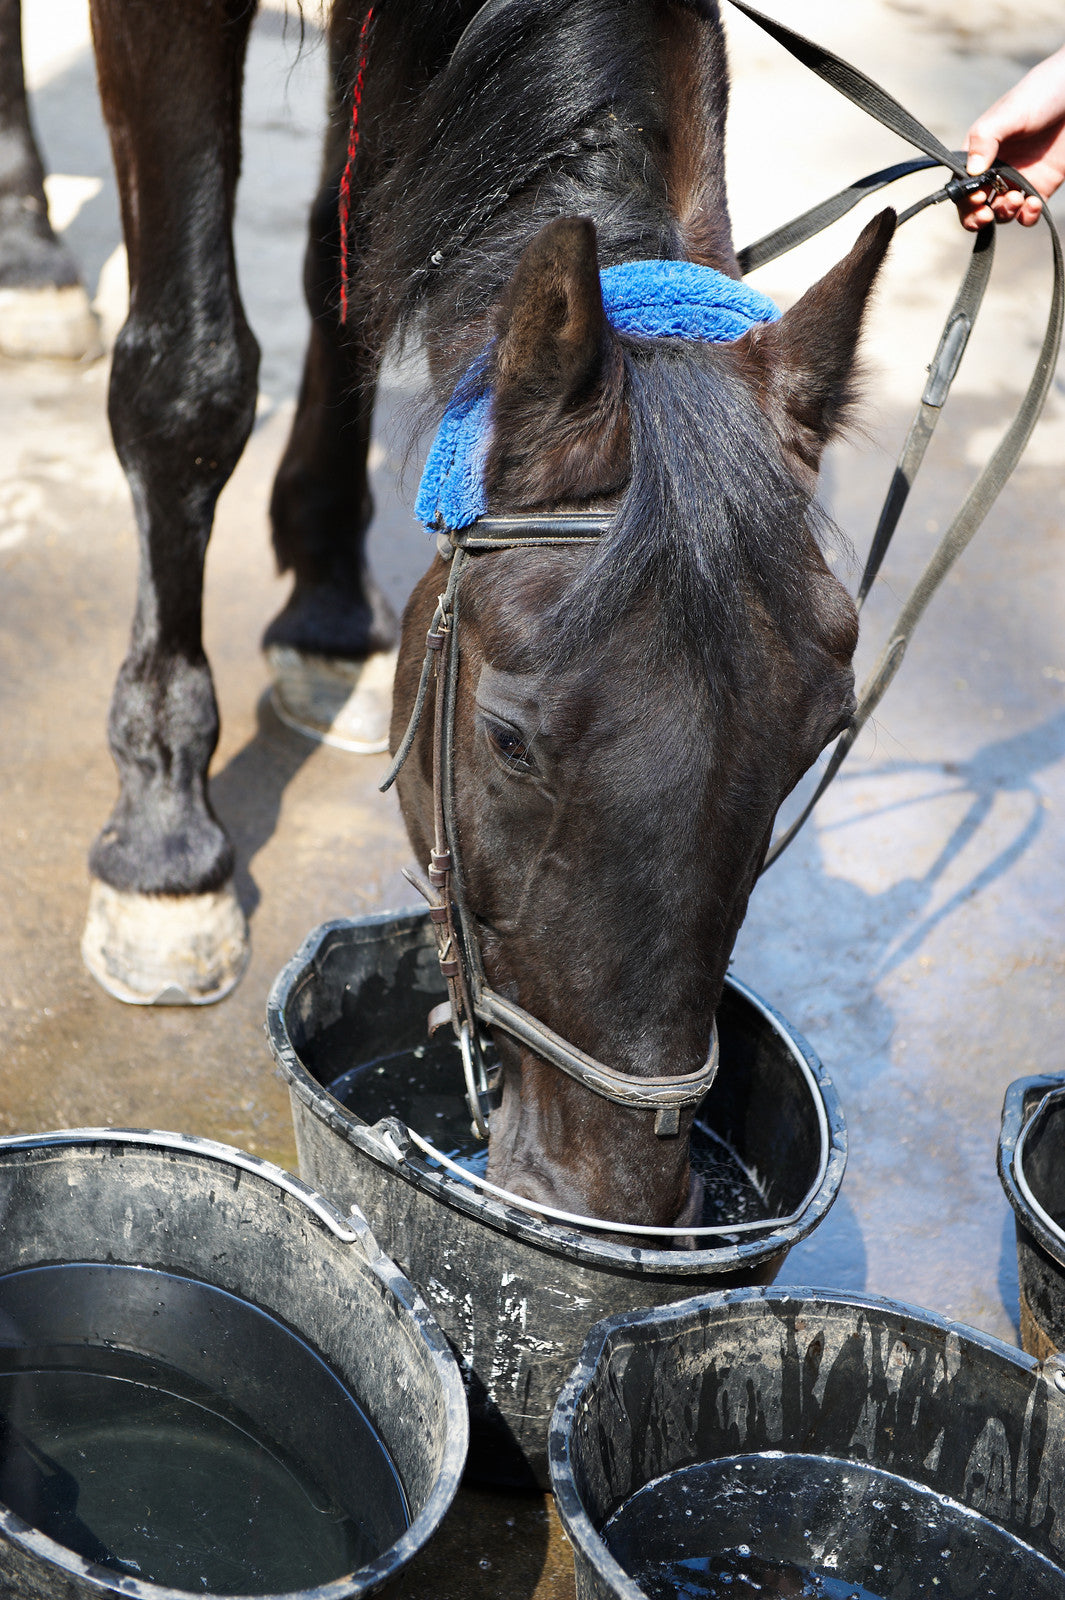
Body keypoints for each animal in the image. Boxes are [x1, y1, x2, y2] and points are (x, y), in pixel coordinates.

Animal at [8, 0, 893, 1228]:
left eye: (819, 736)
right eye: (507, 742)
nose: (618, 1194)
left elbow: (351, 264)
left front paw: (328, 605)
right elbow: (188, 375)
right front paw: (164, 834)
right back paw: (28, 252)